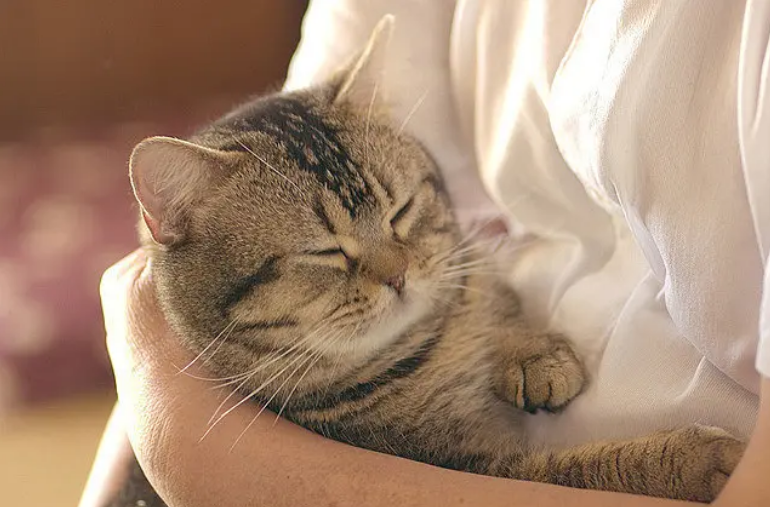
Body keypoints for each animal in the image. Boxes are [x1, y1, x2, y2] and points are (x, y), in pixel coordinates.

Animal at [111, 15, 740, 507]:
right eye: (325, 251)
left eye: (401, 211)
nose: (398, 275)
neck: (426, 354)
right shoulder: (474, 467)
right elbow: (580, 470)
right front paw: (690, 460)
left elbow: (478, 289)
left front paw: (531, 350)